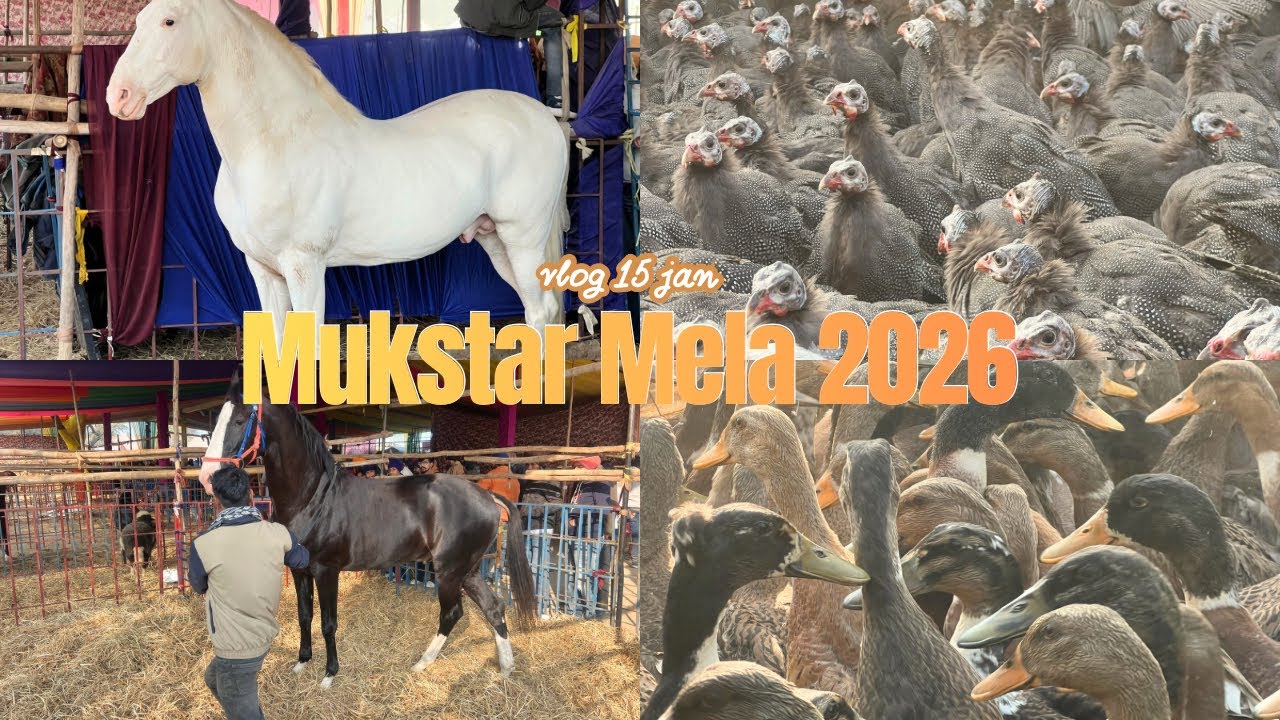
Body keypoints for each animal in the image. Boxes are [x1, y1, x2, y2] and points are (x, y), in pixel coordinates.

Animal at [105, 0, 568, 345]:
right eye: (137, 21)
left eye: (168, 21)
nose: (118, 96)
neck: (274, 145)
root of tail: (545, 116)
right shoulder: (263, 270)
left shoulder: (304, 266)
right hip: (494, 239)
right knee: (539, 310)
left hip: (523, 237)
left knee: (539, 312)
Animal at [198, 375, 537, 688]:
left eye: (240, 419)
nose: (207, 476)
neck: (312, 498)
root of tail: (487, 496)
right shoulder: (299, 570)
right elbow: (305, 615)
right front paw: (302, 662)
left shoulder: (326, 570)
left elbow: (328, 623)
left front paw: (329, 674)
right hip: (468, 569)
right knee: (494, 607)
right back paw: (505, 668)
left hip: (450, 571)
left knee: (452, 613)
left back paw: (422, 662)